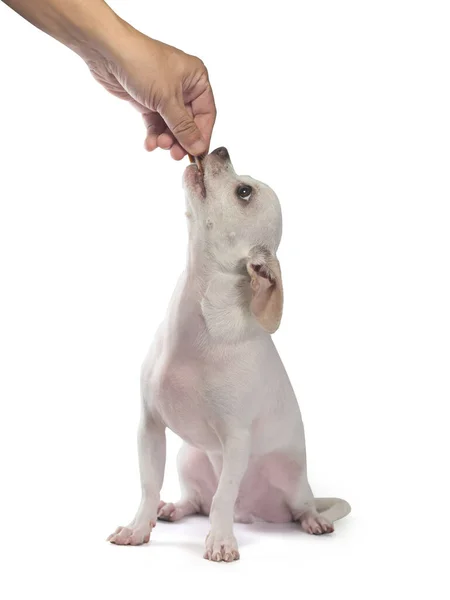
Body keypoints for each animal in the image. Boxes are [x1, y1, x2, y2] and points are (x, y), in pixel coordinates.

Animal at [107, 148, 350, 560]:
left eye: (244, 191)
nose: (218, 150)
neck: (196, 324)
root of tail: (252, 515)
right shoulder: (150, 426)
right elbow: (148, 485)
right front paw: (138, 529)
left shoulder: (236, 440)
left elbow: (224, 495)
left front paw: (220, 541)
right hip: (188, 457)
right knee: (196, 501)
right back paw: (172, 508)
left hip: (289, 475)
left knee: (291, 506)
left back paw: (313, 521)